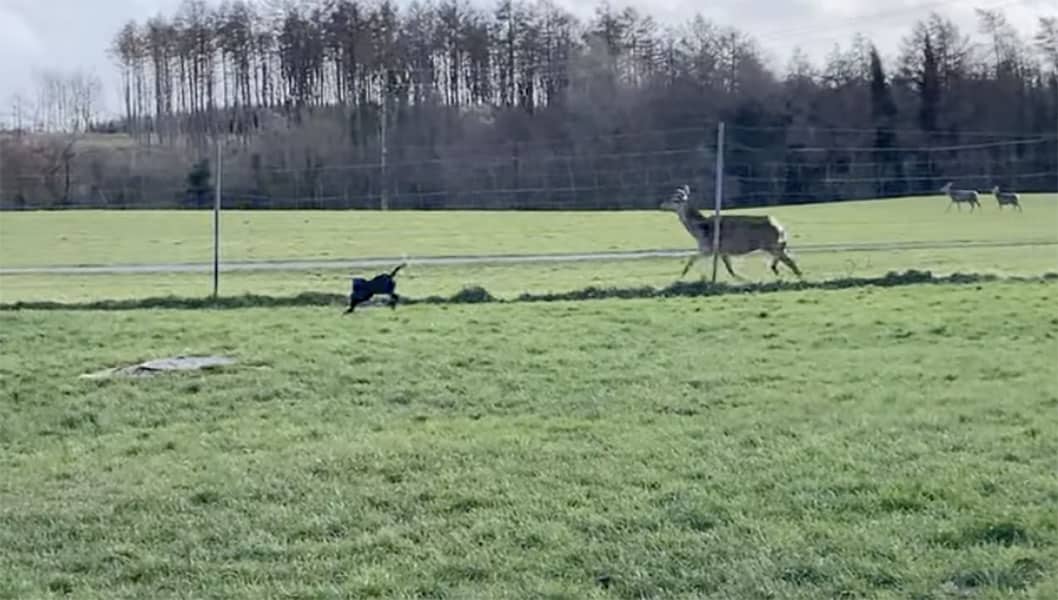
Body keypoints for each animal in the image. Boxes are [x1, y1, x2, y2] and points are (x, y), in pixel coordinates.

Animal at [659, 185, 803, 281]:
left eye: (675, 200)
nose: (661, 204)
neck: (700, 231)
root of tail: (780, 227)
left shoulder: (708, 248)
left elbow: (691, 259)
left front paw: (680, 277)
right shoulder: (723, 251)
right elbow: (729, 268)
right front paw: (741, 279)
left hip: (771, 245)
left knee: (789, 260)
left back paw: (794, 275)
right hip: (775, 245)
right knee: (788, 258)